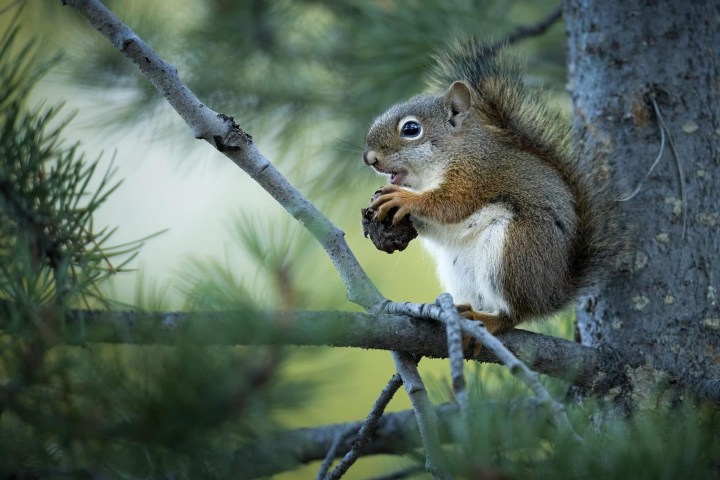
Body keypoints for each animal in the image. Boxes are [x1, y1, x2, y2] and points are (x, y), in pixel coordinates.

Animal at [363, 38, 619, 335]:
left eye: (411, 129)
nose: (369, 158)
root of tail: (553, 293)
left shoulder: (475, 175)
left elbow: (450, 204)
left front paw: (404, 199)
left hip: (513, 252)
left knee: (515, 314)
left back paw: (489, 319)